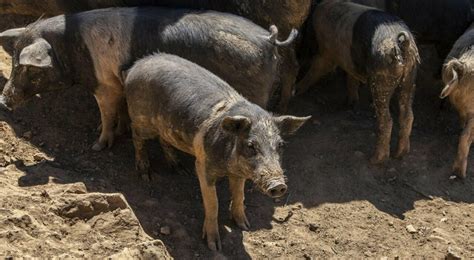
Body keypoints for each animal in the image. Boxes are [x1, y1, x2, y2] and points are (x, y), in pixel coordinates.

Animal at [0, 7, 296, 151]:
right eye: (12, 61)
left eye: (28, 69)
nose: (3, 101)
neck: (70, 47)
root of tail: (269, 39)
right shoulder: (117, 83)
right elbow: (120, 110)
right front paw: (116, 130)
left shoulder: (104, 85)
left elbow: (107, 112)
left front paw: (98, 144)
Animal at [296, 0, 418, 165]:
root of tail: (401, 43)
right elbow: (350, 77)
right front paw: (351, 103)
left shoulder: (328, 51)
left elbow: (319, 67)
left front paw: (296, 90)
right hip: (410, 76)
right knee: (407, 115)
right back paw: (400, 154)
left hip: (382, 77)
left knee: (386, 119)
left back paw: (375, 160)